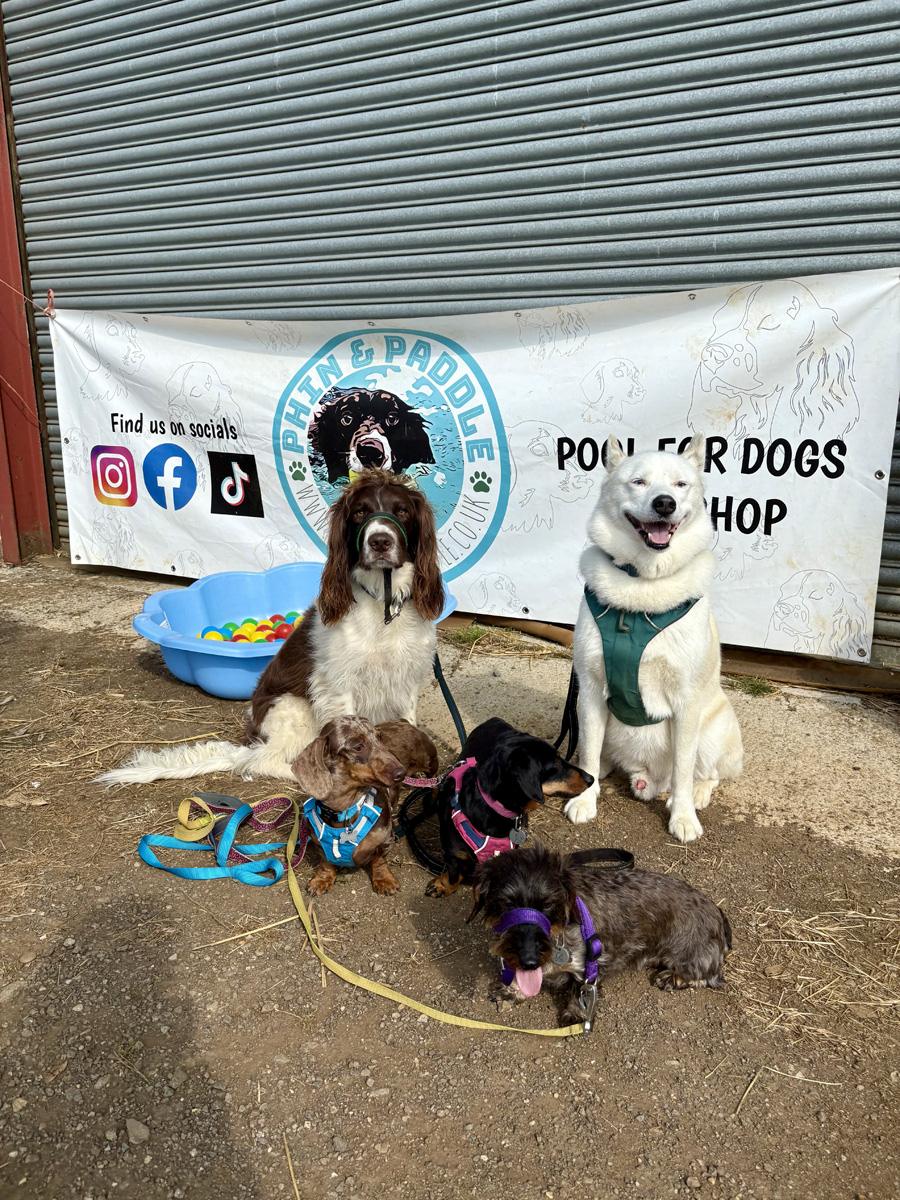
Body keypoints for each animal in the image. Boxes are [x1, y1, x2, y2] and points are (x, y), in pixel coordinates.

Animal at [97, 469, 444, 786]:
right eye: (360, 511)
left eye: (402, 511)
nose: (380, 541)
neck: (382, 603)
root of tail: (252, 739)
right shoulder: (337, 684)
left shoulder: (406, 678)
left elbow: (407, 724)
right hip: (292, 708)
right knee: (265, 761)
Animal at [294, 716, 437, 895]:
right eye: (358, 746)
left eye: (380, 737)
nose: (401, 773)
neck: (345, 810)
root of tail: (403, 721)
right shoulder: (319, 844)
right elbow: (326, 862)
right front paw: (322, 879)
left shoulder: (385, 840)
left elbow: (379, 860)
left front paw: (384, 880)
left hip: (430, 763)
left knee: (435, 781)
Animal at [425, 718, 593, 898]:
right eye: (555, 762)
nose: (591, 779)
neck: (492, 807)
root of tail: (495, 719)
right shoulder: (453, 855)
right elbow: (454, 874)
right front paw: (444, 885)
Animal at [472, 843, 732, 1026]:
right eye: (506, 904)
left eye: (548, 904)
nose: (528, 960)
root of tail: (717, 911)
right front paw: (512, 990)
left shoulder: (590, 966)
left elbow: (580, 993)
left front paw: (576, 1014)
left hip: (688, 957)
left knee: (710, 976)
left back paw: (673, 977)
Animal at [564, 434, 742, 843]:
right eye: (639, 482)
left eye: (680, 484)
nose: (665, 503)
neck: (643, 582)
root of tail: (646, 776)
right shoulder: (590, 690)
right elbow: (589, 754)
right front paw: (585, 798)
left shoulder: (687, 701)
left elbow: (683, 767)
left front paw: (683, 816)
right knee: (599, 757)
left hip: (713, 729)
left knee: (705, 773)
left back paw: (696, 793)